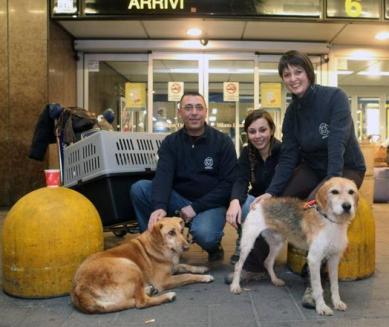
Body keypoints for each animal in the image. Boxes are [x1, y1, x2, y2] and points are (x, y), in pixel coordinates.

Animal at [71, 217, 214, 314]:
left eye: (181, 231)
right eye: (171, 233)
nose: (187, 247)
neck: (160, 247)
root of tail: (78, 290)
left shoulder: (173, 267)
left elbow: (186, 266)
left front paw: (201, 269)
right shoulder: (163, 280)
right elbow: (187, 276)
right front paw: (205, 277)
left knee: (134, 298)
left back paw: (149, 289)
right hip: (130, 266)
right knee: (140, 303)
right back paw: (167, 296)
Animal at [229, 178, 360, 316]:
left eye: (351, 192)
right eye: (334, 192)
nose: (347, 206)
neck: (331, 222)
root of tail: (262, 201)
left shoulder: (334, 259)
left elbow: (335, 285)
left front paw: (337, 302)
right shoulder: (314, 259)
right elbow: (318, 287)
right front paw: (322, 307)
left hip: (277, 243)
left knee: (268, 262)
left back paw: (275, 280)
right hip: (248, 243)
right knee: (238, 265)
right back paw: (235, 286)